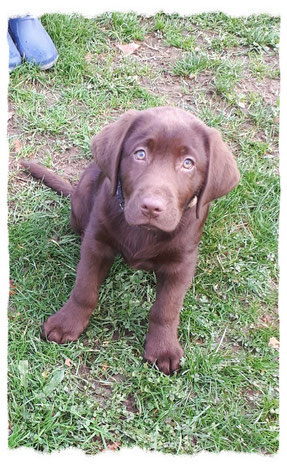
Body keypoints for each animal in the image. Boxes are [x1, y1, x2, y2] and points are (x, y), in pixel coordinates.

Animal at [20, 105, 241, 372]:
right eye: (140, 154)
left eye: (188, 163)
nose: (152, 207)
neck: (144, 231)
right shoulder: (96, 244)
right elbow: (84, 288)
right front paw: (67, 322)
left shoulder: (182, 263)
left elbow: (166, 308)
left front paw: (163, 348)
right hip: (83, 196)